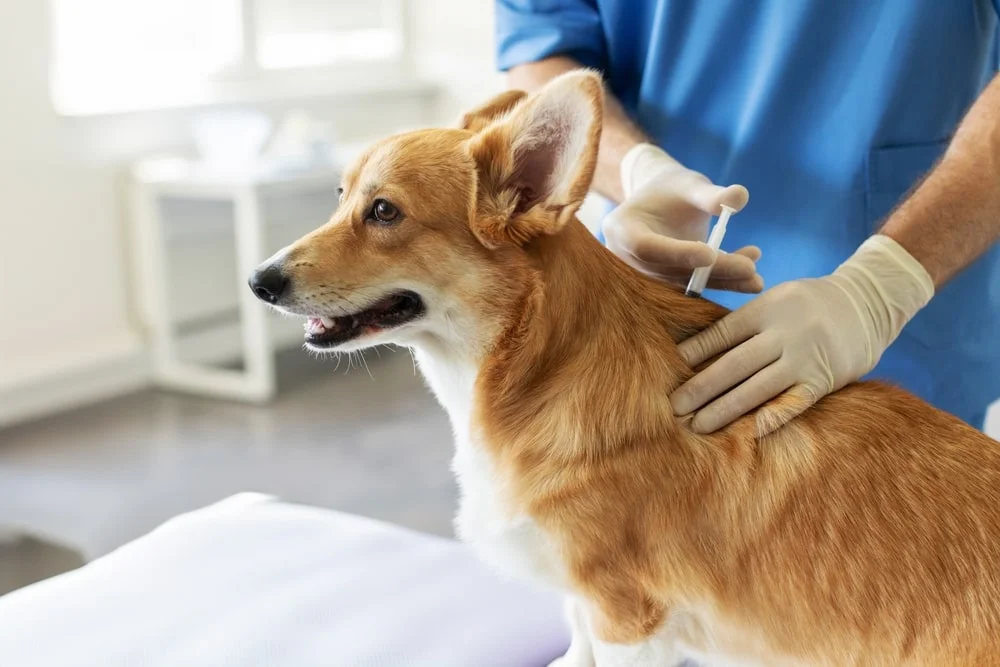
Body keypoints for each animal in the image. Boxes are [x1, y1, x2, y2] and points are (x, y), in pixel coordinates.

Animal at [248, 70, 1000, 664]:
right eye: (340, 197)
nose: (259, 281)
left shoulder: (627, 612)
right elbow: (573, 643)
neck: (530, 376)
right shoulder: (586, 601)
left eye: (384, 211)